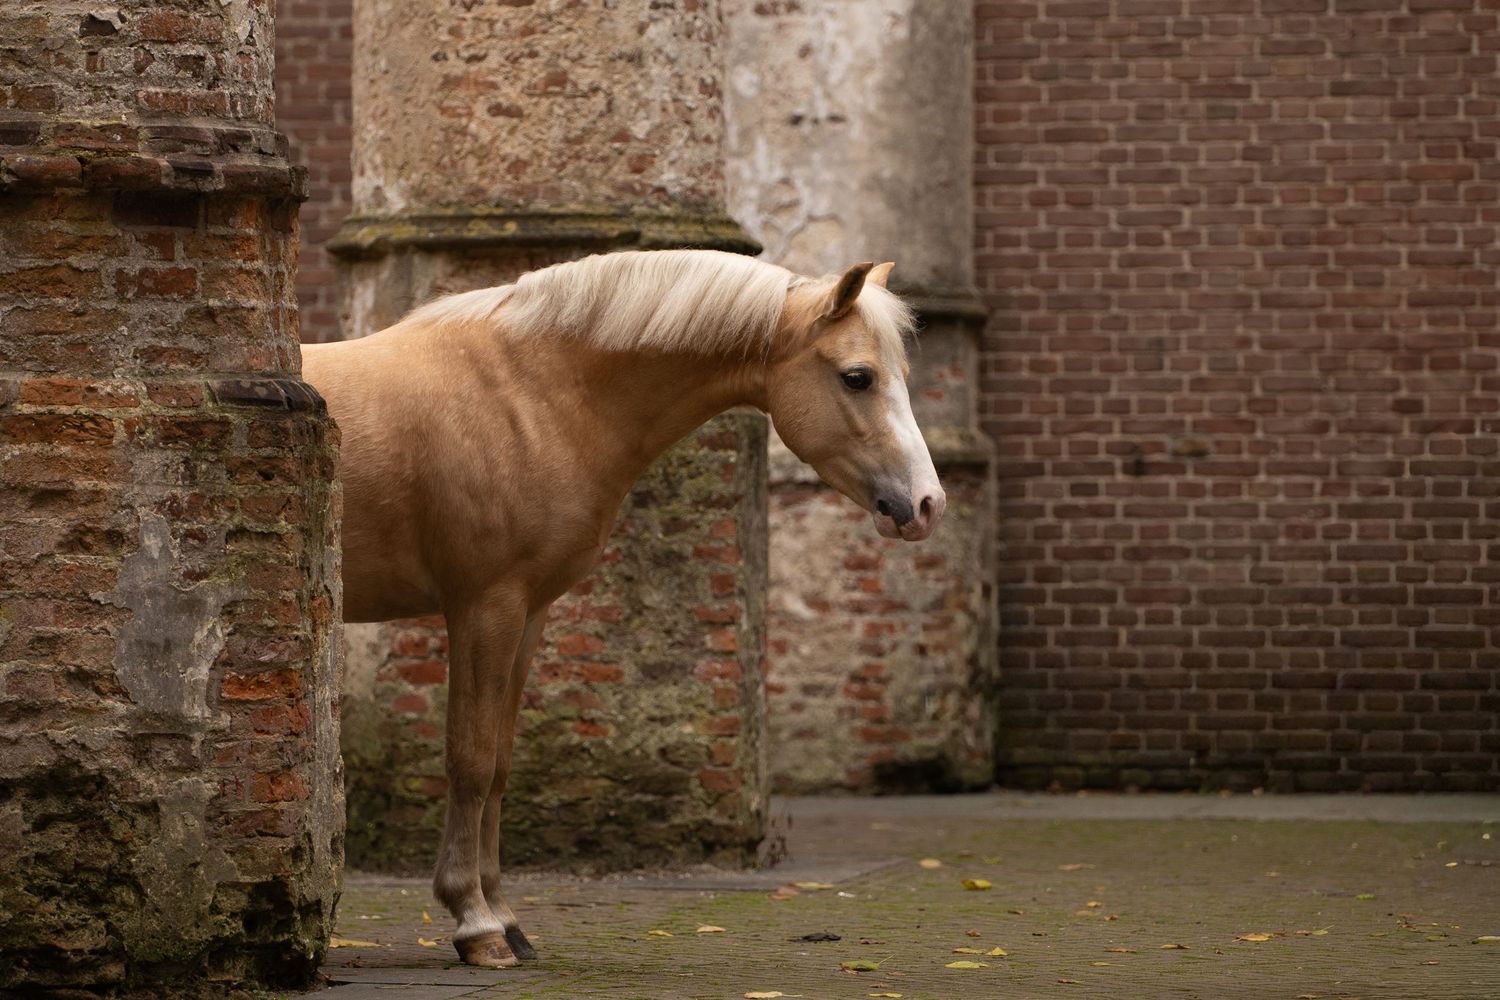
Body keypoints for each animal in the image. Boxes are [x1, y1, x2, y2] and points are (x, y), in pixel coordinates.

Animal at [300, 248, 945, 968]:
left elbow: (498, 764)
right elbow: (469, 760)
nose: (926, 505)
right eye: (858, 377)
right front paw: (476, 924)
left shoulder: (527, 614)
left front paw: (506, 918)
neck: (529, 397)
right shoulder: (482, 607)